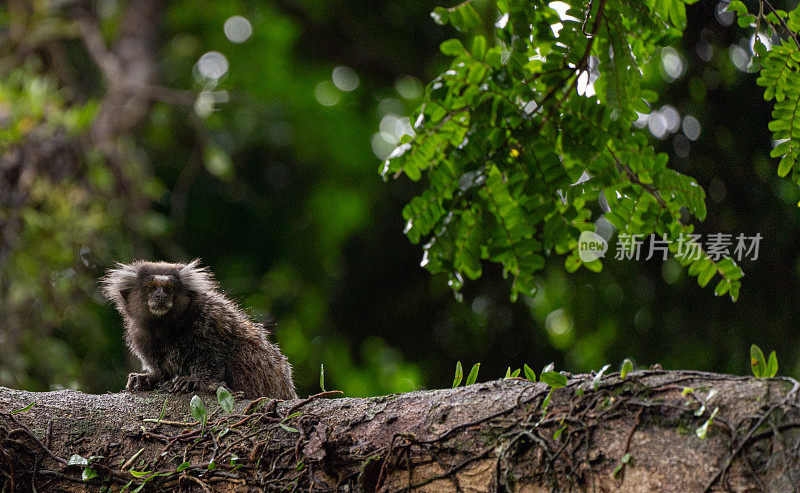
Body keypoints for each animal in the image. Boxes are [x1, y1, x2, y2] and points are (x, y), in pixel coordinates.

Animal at [101, 260, 296, 398]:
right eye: (151, 287)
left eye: (169, 288)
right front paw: (152, 377)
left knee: (242, 349)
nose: (160, 296)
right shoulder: (141, 335)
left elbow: (214, 355)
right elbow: (162, 368)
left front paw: (195, 381)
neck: (165, 326)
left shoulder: (206, 321)